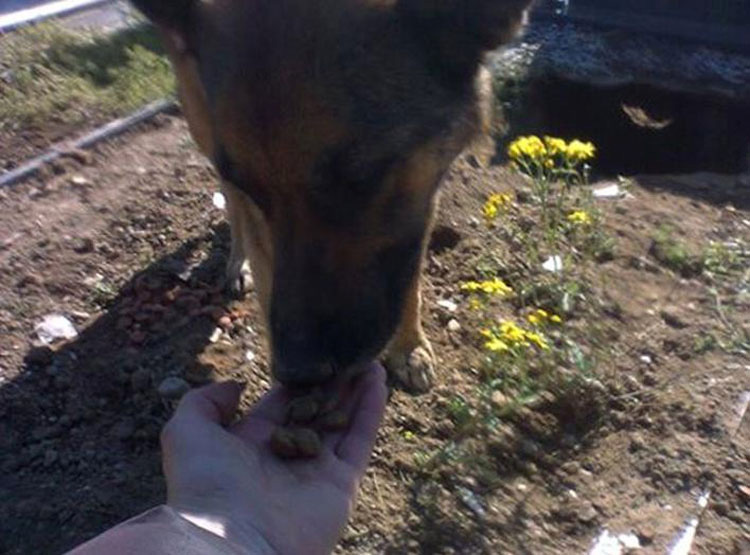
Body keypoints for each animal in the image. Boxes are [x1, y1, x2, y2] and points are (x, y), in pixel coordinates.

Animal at [129, 0, 532, 390]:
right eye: (257, 190)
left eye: (360, 178)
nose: (297, 374)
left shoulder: (420, 195)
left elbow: (409, 272)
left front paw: (409, 347)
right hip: (203, 122)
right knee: (231, 202)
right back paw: (236, 262)